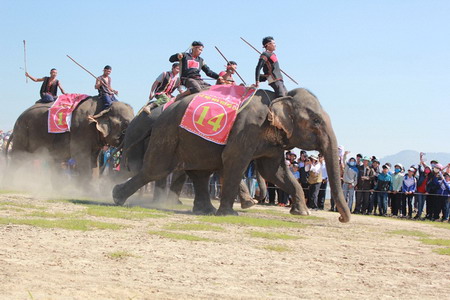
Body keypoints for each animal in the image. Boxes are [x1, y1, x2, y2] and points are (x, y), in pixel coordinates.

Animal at [5, 97, 134, 189]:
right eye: (126, 124)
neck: (103, 108)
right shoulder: (82, 129)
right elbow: (82, 157)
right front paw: (86, 191)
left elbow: (94, 160)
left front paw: (93, 191)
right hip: (22, 132)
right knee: (18, 158)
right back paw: (10, 184)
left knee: (54, 161)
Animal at [113, 87, 352, 223]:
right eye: (317, 121)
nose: (342, 218)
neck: (281, 97)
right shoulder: (248, 127)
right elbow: (235, 160)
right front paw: (230, 214)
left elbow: (274, 172)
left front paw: (302, 213)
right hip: (168, 133)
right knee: (156, 169)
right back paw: (116, 196)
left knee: (199, 172)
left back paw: (205, 211)